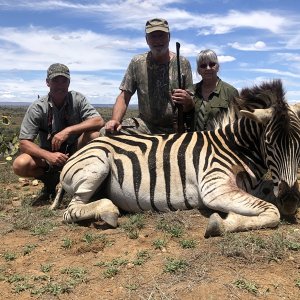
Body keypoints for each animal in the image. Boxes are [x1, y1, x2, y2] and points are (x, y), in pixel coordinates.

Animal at [51, 79, 300, 237]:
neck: (232, 146)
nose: (290, 200)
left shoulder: (257, 185)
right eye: (269, 143)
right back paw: (108, 211)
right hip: (97, 166)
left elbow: (269, 199)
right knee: (71, 210)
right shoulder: (215, 187)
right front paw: (220, 223)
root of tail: (79, 152)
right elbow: (271, 211)